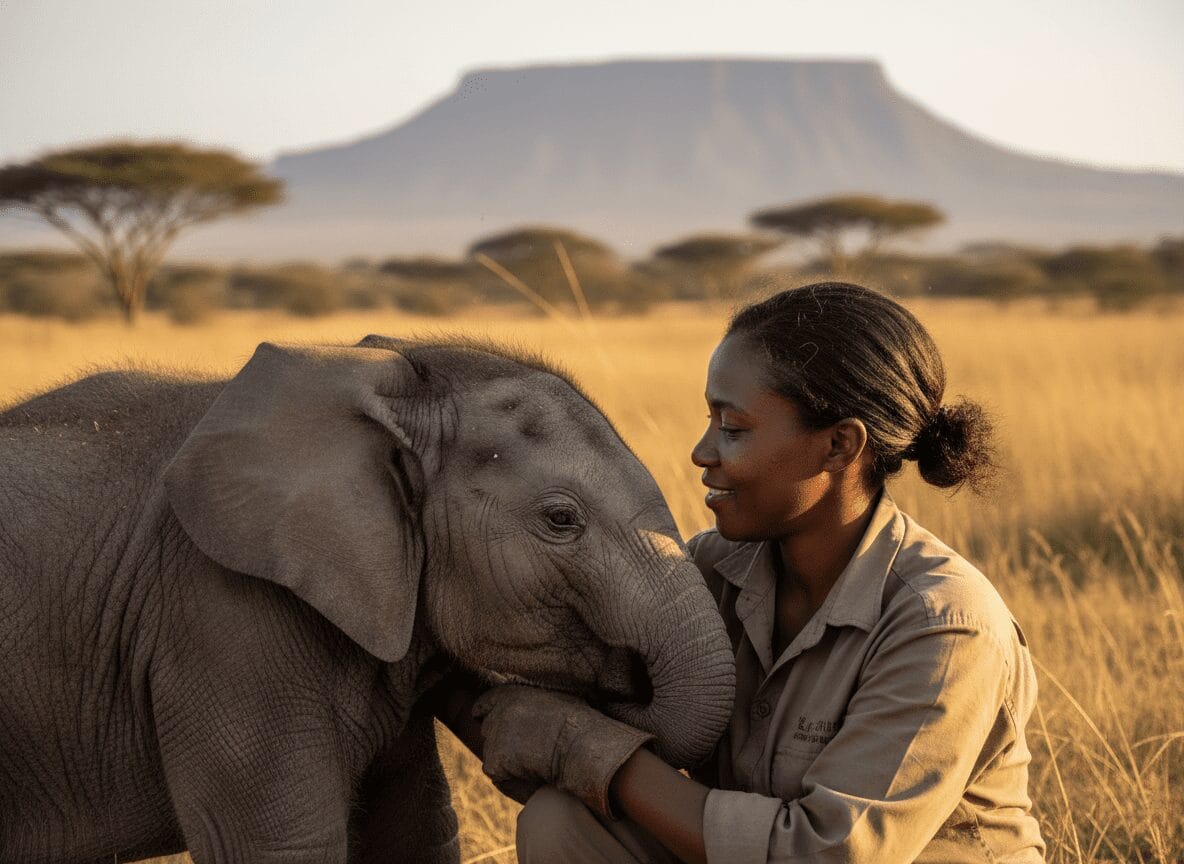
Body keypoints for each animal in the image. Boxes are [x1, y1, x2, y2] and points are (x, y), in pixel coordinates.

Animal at [0, 335, 736, 864]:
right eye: (561, 520)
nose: (622, 682)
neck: (394, 383)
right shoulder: (219, 616)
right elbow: (280, 846)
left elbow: (416, 832)